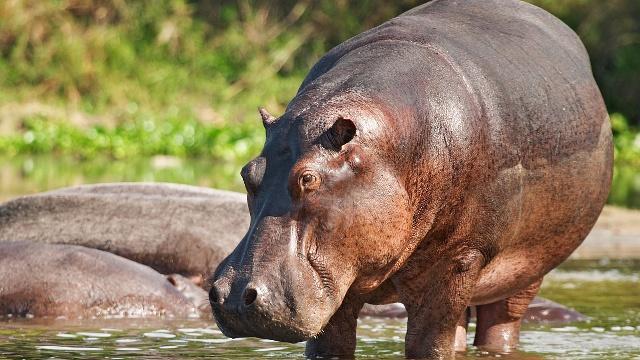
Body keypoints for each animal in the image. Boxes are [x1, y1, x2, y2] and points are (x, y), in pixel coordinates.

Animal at [209, 1, 608, 358]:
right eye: (247, 173)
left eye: (309, 178)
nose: (234, 296)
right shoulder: (338, 278)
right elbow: (330, 345)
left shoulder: (459, 259)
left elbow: (427, 345)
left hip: (524, 272)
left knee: (500, 323)